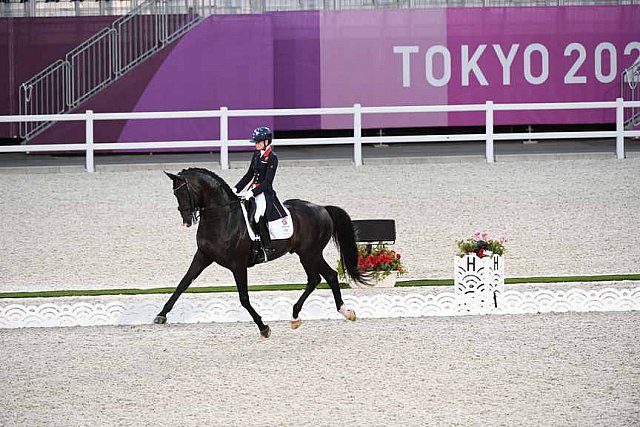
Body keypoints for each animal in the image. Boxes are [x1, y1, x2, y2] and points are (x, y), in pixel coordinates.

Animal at [153, 167, 368, 338]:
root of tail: (322, 208)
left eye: (184, 192)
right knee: (326, 276)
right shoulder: (203, 256)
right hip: (309, 254)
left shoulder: (238, 265)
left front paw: (263, 327)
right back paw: (324, 314)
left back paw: (320, 313)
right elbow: (183, 283)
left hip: (309, 253)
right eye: (175, 194)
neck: (223, 217)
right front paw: (161, 315)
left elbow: (244, 298)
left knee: (319, 278)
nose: (187, 221)